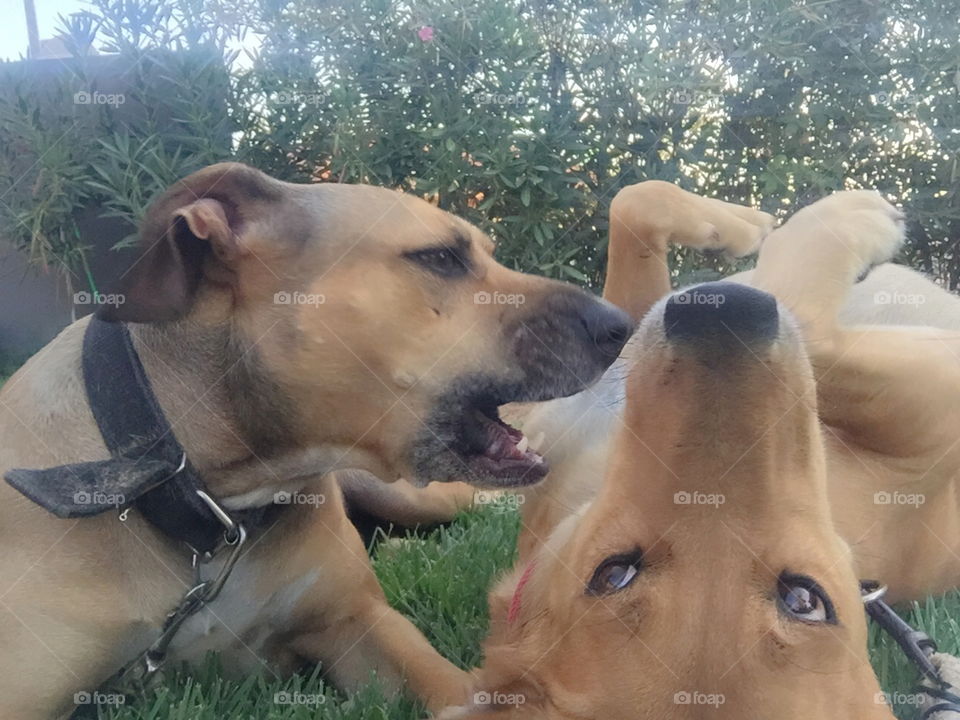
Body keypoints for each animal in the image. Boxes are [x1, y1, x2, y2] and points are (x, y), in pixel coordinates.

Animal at [0, 163, 632, 720]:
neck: (216, 511)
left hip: (407, 495)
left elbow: (455, 687)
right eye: (440, 257)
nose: (621, 324)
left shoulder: (362, 624)